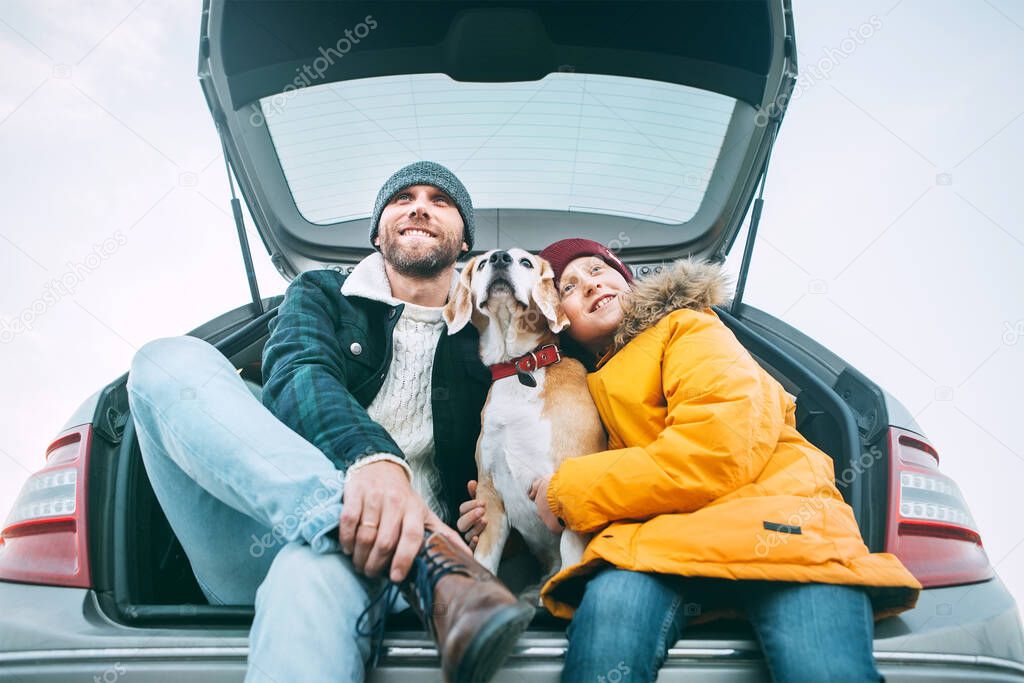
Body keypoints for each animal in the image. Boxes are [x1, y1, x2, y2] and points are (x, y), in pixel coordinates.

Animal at [442, 248, 602, 602]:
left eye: (526, 262)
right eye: (483, 263)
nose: (500, 258)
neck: (520, 368)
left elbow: (571, 556)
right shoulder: (489, 497)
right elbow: (485, 560)